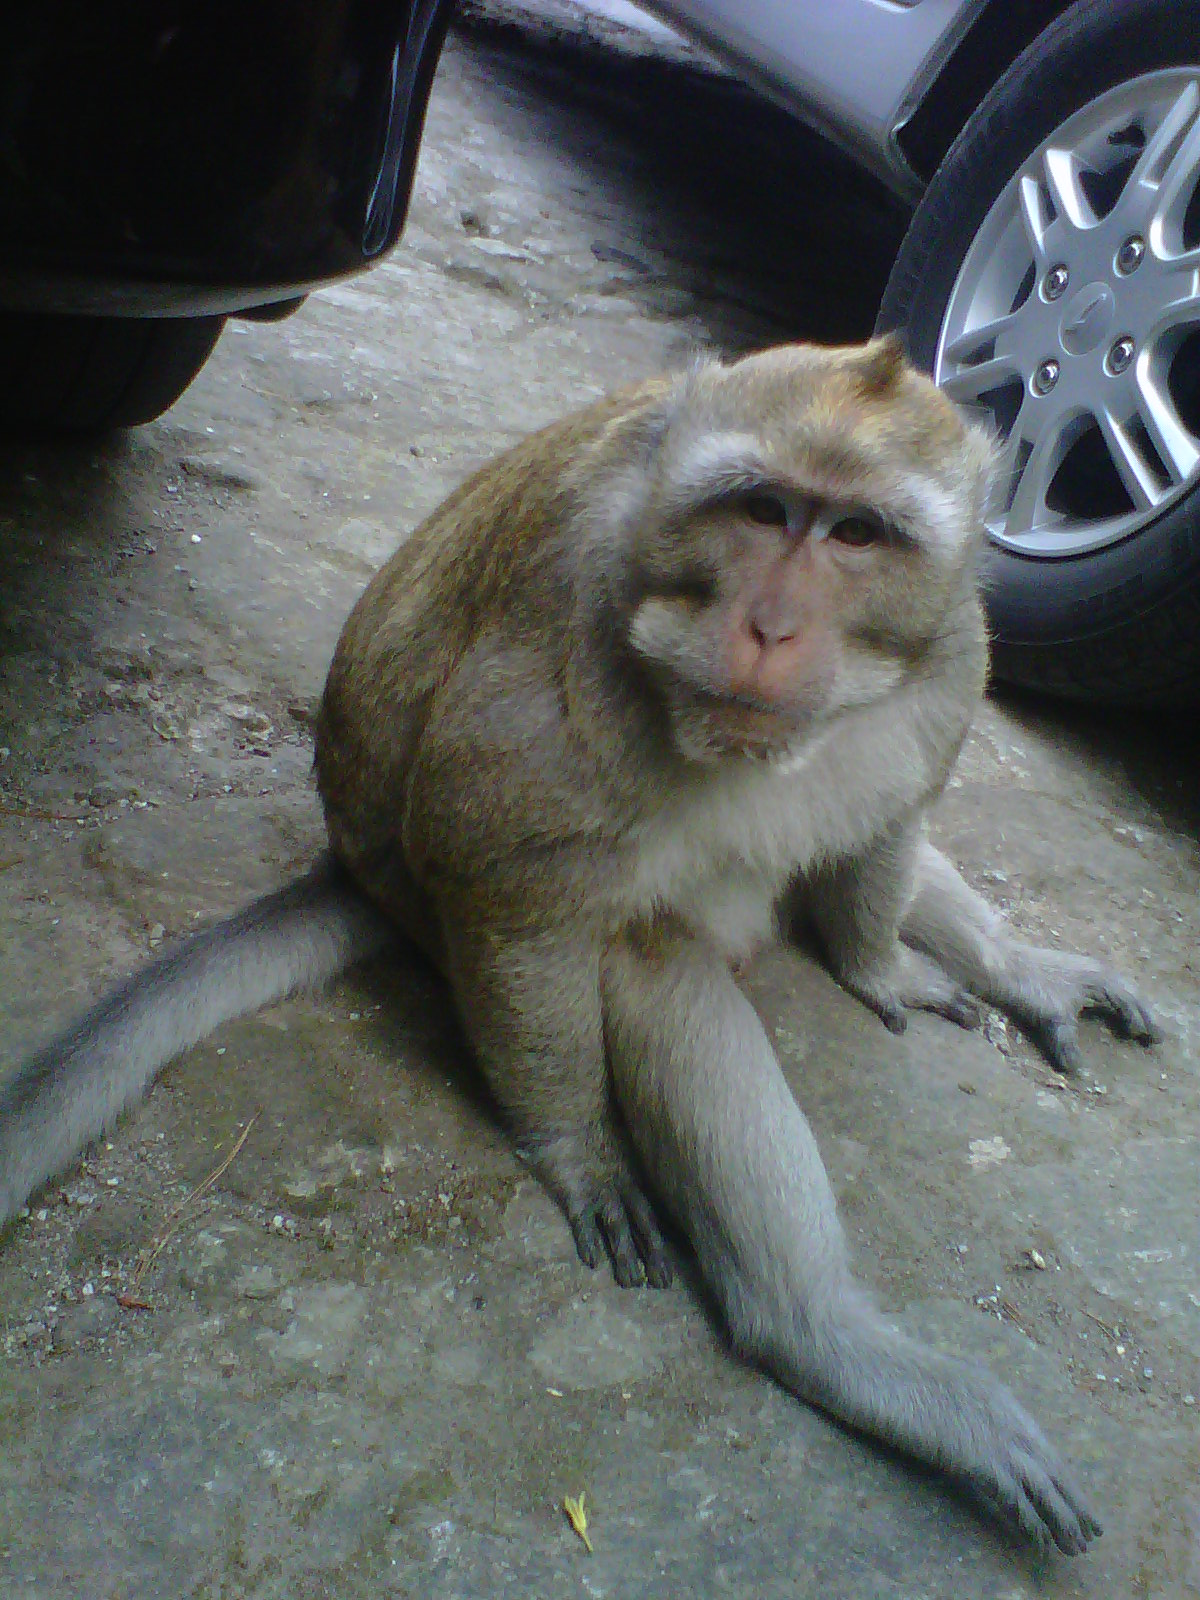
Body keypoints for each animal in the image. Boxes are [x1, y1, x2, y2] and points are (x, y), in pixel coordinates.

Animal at [0, 336, 1158, 1555]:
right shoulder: (575, 647)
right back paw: (824, 1335)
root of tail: (349, 867)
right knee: (648, 961)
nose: (771, 627)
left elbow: (894, 819)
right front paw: (576, 1149)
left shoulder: (954, 654)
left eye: (858, 534)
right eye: (761, 508)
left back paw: (1024, 973)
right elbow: (507, 879)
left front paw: (878, 960)